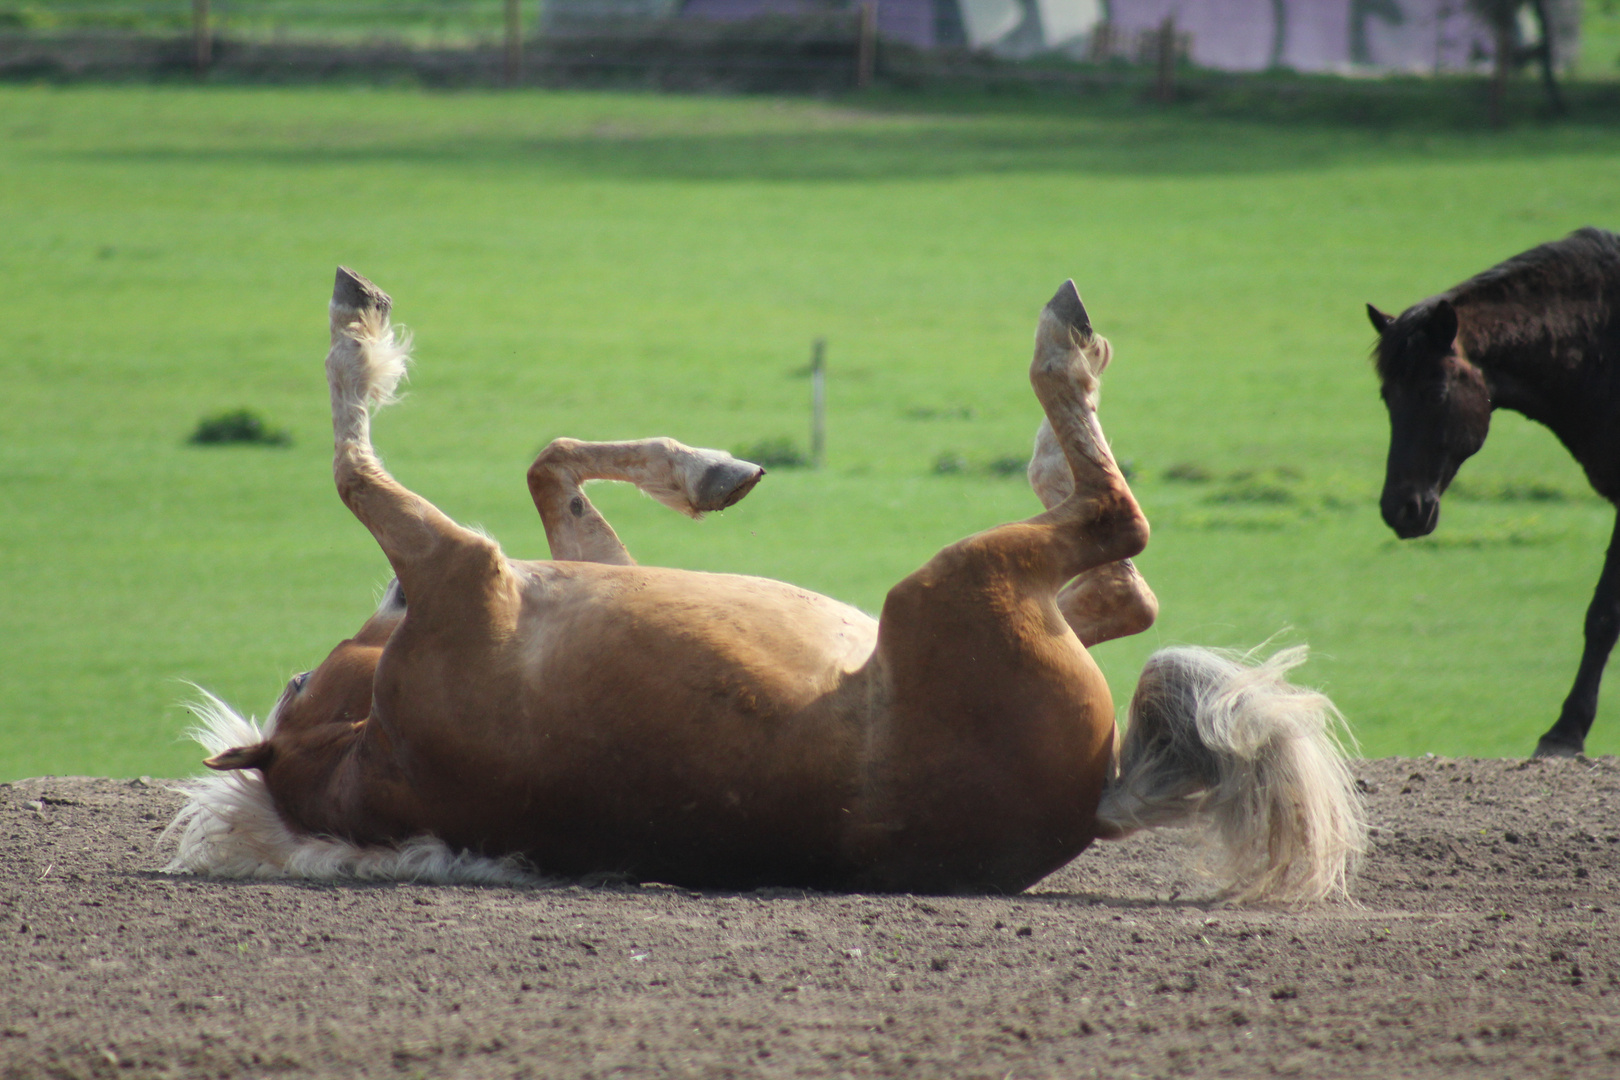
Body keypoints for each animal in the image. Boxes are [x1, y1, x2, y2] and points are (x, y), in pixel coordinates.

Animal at [1367, 225, 1620, 757]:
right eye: (1386, 396)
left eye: (1436, 392)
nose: (1401, 509)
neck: (1606, 344)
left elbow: (1603, 615)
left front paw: (1565, 733)